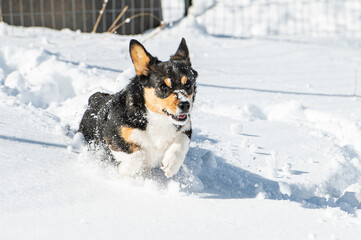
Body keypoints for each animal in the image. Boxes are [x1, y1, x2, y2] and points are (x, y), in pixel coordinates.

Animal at [78, 38, 197, 178]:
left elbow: (182, 141)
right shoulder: (113, 134)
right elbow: (137, 156)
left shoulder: (186, 128)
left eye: (188, 85)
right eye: (163, 87)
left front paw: (171, 165)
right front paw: (125, 170)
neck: (157, 119)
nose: (185, 105)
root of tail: (94, 98)